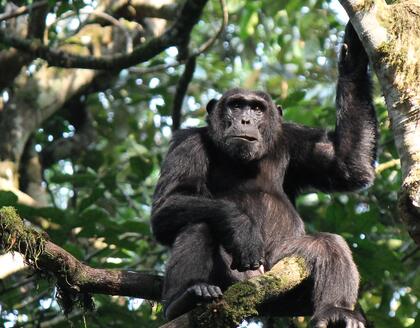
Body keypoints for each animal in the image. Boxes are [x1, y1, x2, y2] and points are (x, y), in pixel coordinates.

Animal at [152, 23, 378, 328]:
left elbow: (346, 164)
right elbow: (166, 205)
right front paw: (241, 226)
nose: (245, 119)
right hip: (232, 278)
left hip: (283, 275)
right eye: (236, 105)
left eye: (257, 108)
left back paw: (336, 311)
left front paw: (353, 55)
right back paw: (186, 297)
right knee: (198, 223)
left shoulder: (295, 139)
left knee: (327, 244)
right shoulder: (186, 145)